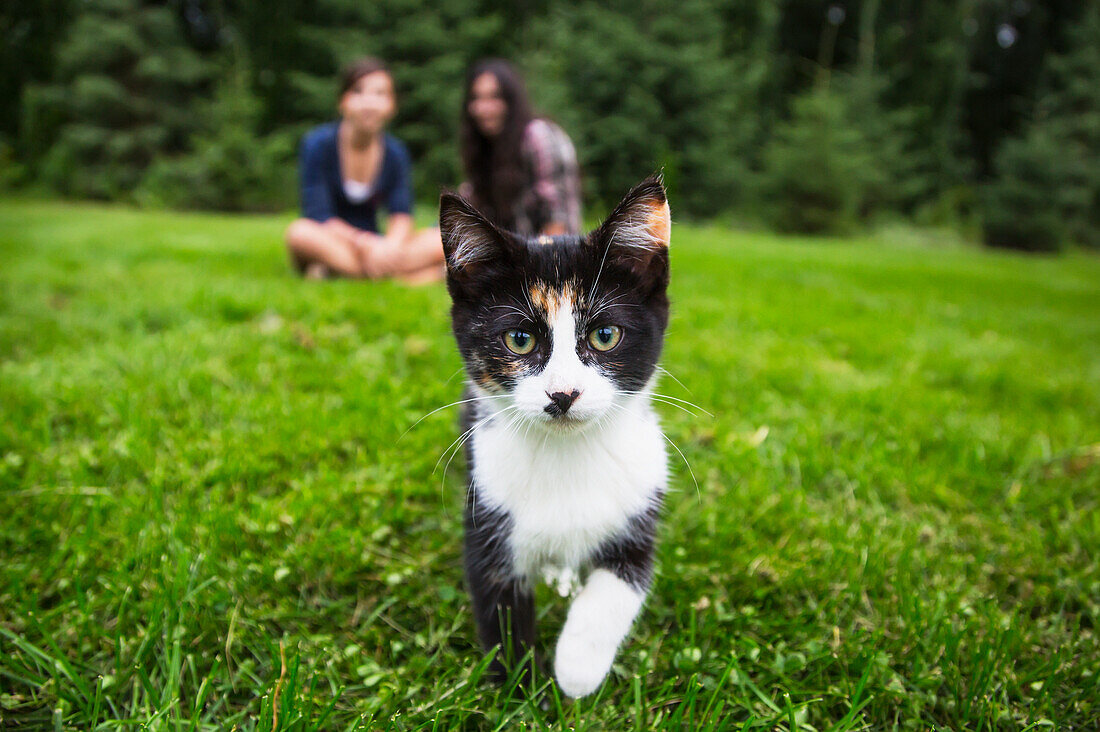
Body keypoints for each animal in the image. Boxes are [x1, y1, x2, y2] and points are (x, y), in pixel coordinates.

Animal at [437, 176, 668, 695]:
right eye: (519, 340)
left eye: (605, 335)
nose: (563, 394)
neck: (567, 453)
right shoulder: (487, 512)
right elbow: (500, 604)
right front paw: (520, 687)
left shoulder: (642, 497)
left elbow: (624, 582)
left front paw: (577, 668)